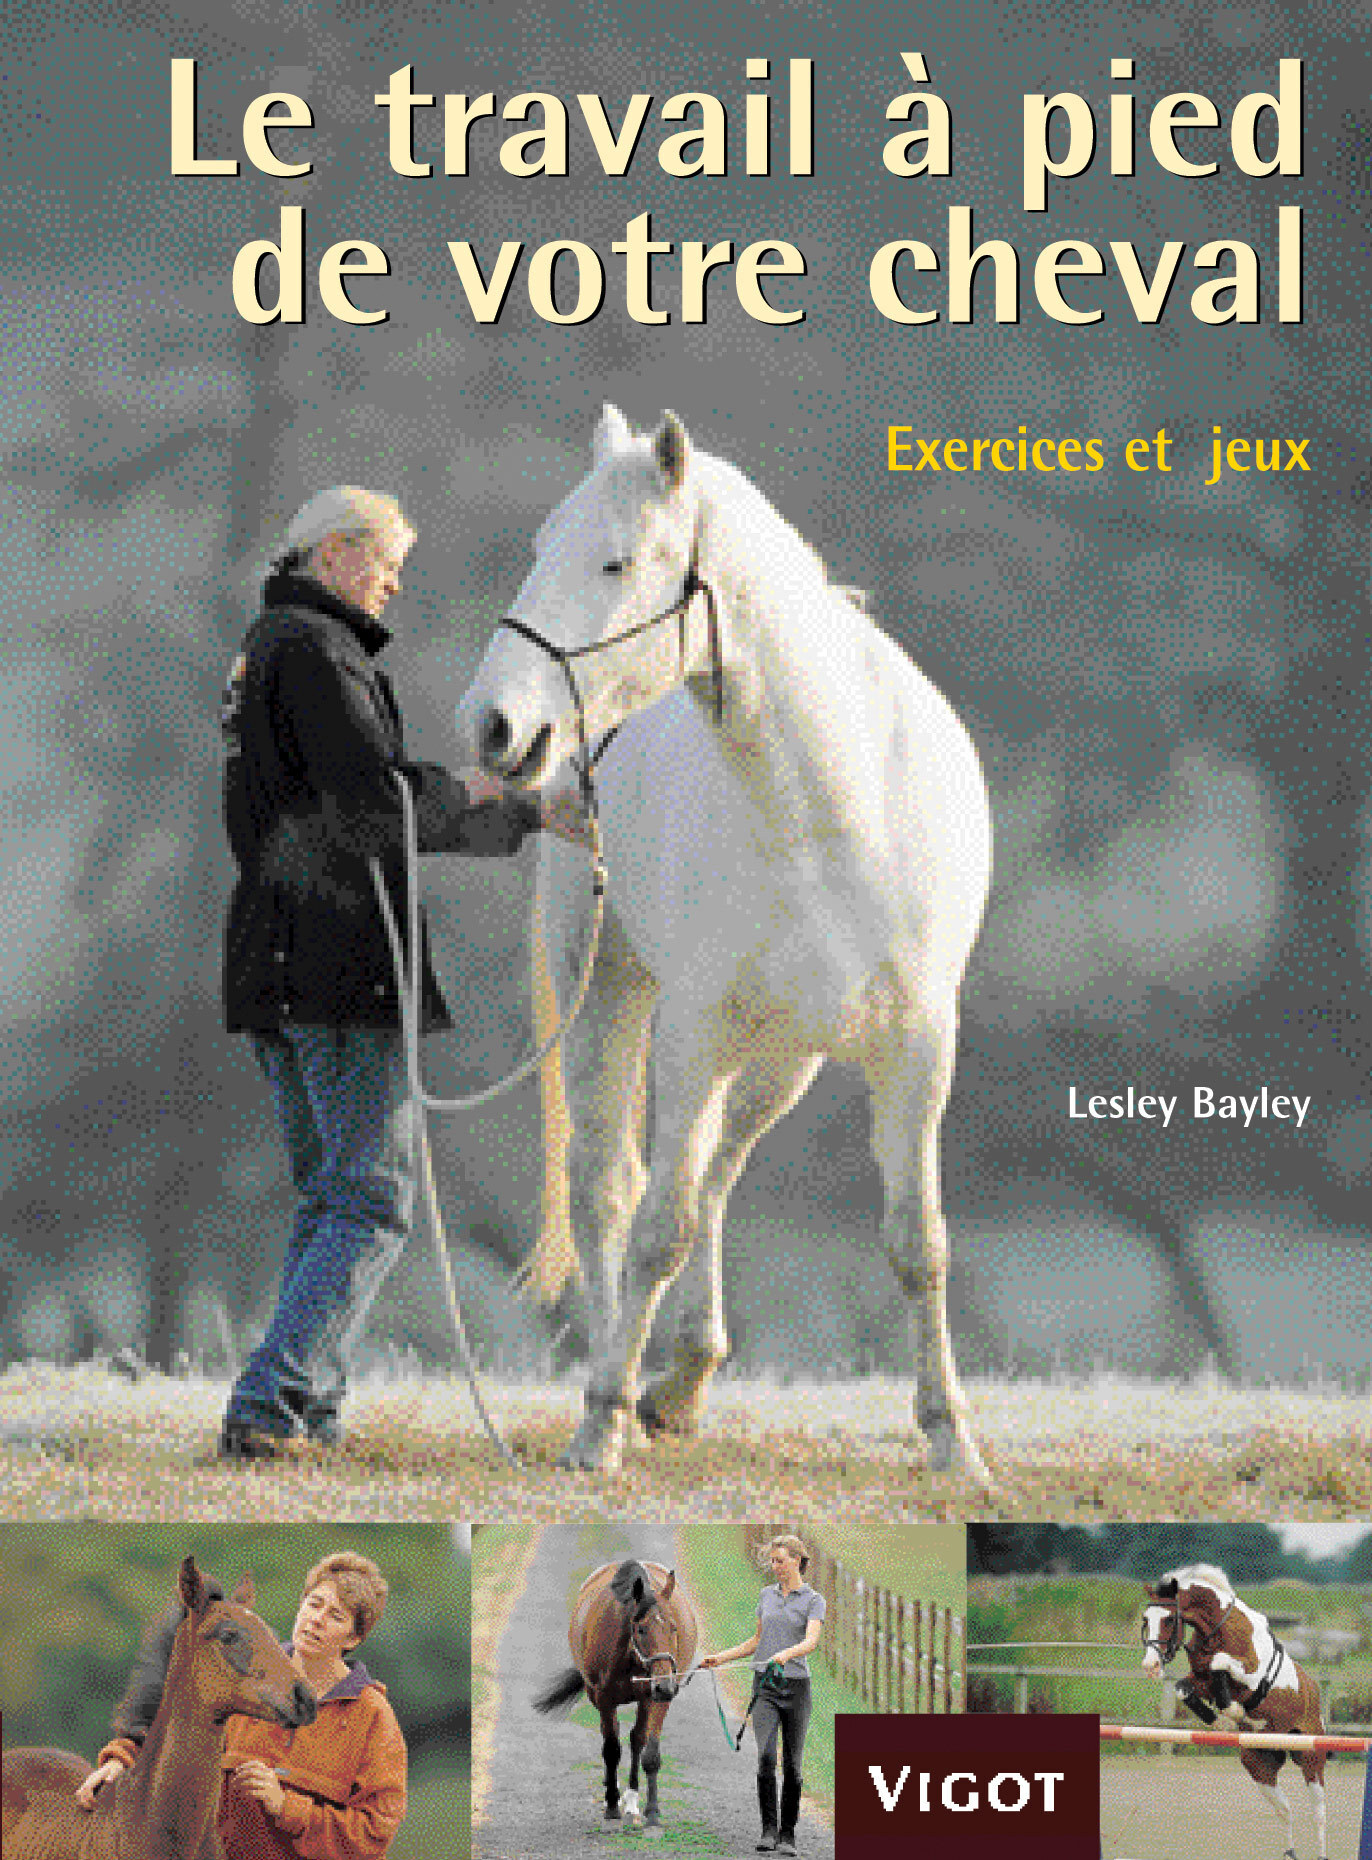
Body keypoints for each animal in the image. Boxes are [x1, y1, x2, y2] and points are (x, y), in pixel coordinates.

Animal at [455, 403, 993, 1484]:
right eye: (540, 547)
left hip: (780, 1060)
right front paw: (600, 1422)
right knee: (614, 1190)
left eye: (616, 562)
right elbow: (654, 1229)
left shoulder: (918, 1045)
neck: (837, 804)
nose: (493, 724)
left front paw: (952, 1441)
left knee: (715, 1171)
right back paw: (626, 1389)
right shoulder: (694, 1034)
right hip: (611, 996)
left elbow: (918, 1241)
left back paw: (685, 1378)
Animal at [532, 1557, 699, 1828]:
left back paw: (631, 1799)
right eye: (641, 1629)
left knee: (636, 1739)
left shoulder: (654, 1700)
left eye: (673, 1628)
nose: (664, 1686)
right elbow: (611, 1749)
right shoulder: (604, 1697)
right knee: (613, 1737)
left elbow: (649, 1752)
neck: (630, 1655)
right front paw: (611, 1804)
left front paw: (653, 1811)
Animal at [1141, 1563, 1328, 1860]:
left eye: (1169, 1619)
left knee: (1318, 1812)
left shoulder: (1250, 1675)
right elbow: (1184, 1688)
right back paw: (1289, 1851)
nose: (1150, 1666)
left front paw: (1234, 1712)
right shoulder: (1200, 1680)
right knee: (1284, 1810)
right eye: (1146, 1619)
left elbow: (1220, 1663)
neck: (1217, 1628)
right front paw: (1221, 1721)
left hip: (1311, 1757)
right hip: (1258, 1765)